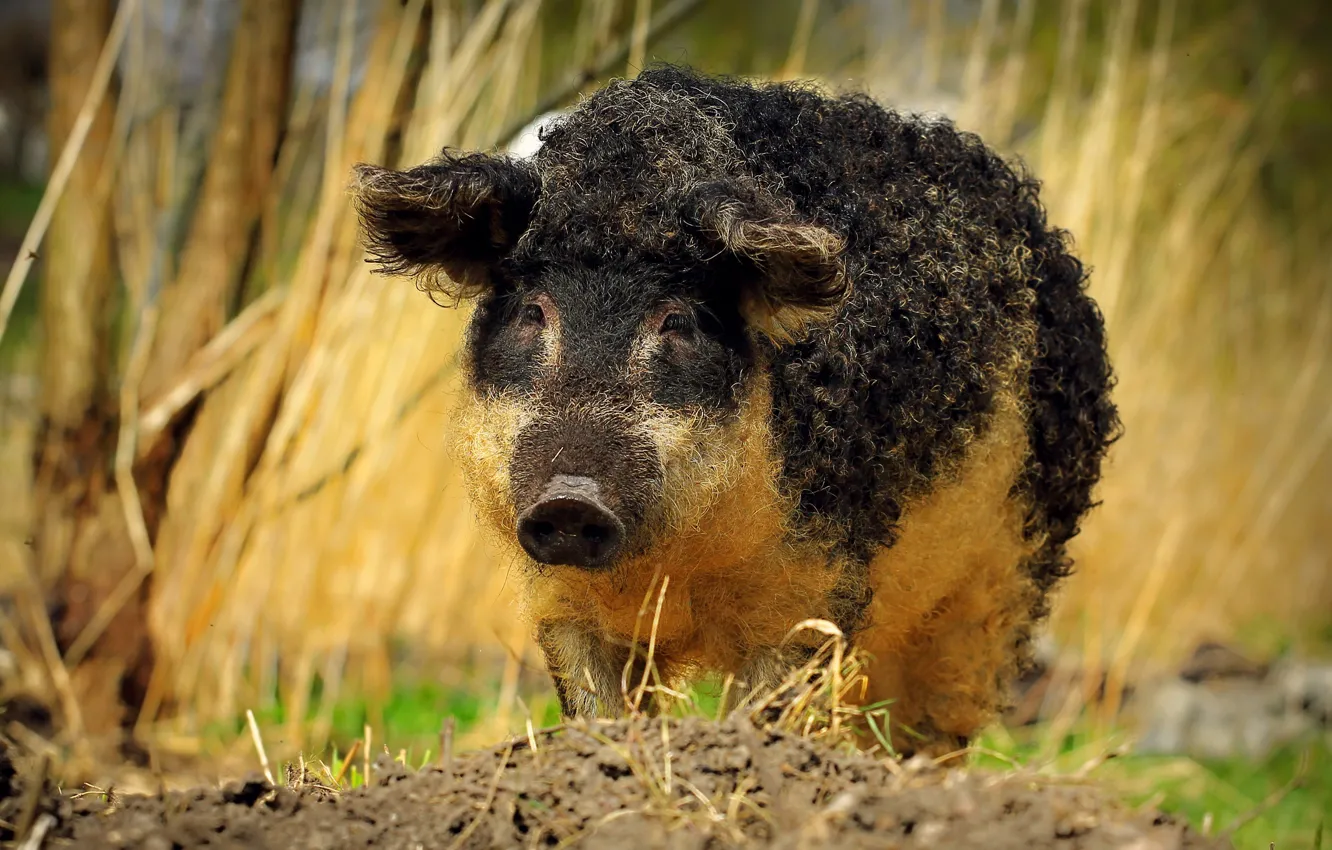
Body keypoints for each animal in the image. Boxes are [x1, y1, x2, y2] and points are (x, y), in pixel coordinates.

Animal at [351, 65, 1120, 756]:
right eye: (533, 311)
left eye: (679, 320)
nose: (570, 498)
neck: (679, 565)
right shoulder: (560, 595)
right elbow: (595, 707)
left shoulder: (820, 586)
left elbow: (769, 707)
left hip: (997, 592)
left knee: (936, 728)